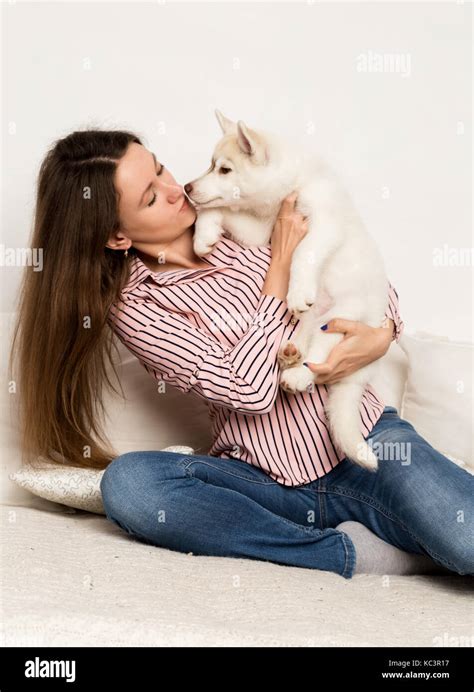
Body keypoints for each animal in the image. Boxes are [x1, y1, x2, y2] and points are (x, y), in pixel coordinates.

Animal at [183, 111, 390, 470]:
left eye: (225, 169)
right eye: (211, 165)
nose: (187, 187)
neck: (291, 186)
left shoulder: (324, 224)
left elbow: (304, 253)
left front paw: (297, 290)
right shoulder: (261, 230)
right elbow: (219, 210)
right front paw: (203, 236)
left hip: (344, 316)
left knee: (322, 357)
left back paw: (298, 375)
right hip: (315, 322)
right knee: (305, 344)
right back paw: (289, 354)